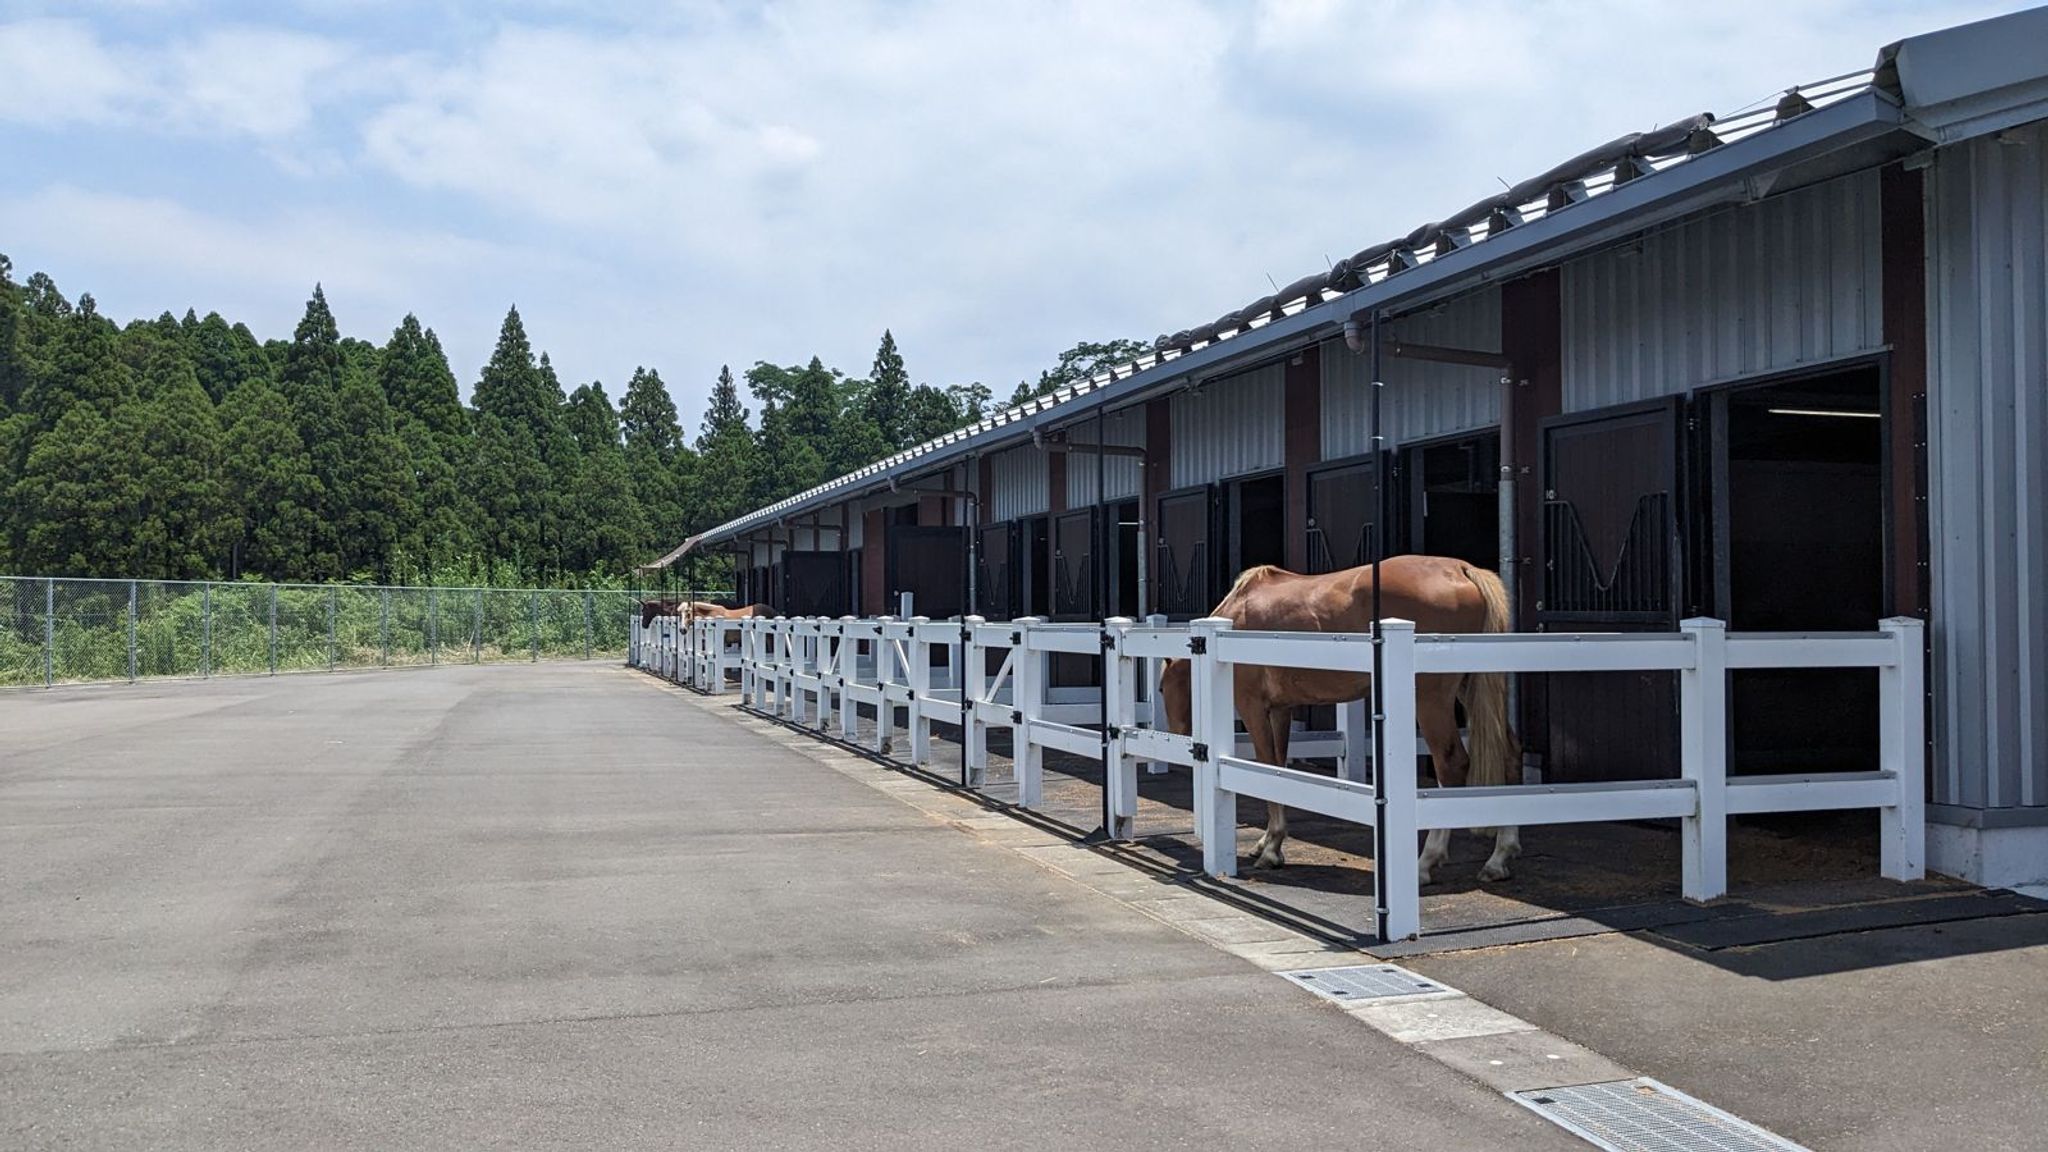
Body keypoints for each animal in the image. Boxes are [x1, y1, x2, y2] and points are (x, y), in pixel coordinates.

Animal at [1157, 554, 1521, 885]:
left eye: (1161, 688)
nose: (1177, 734)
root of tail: (1460, 569)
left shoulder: (1253, 707)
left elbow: (1265, 764)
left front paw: (1272, 849)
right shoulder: (1281, 710)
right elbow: (1278, 768)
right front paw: (1266, 842)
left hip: (1432, 701)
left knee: (1451, 765)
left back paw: (1425, 863)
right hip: (1470, 688)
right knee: (1509, 755)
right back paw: (1499, 859)